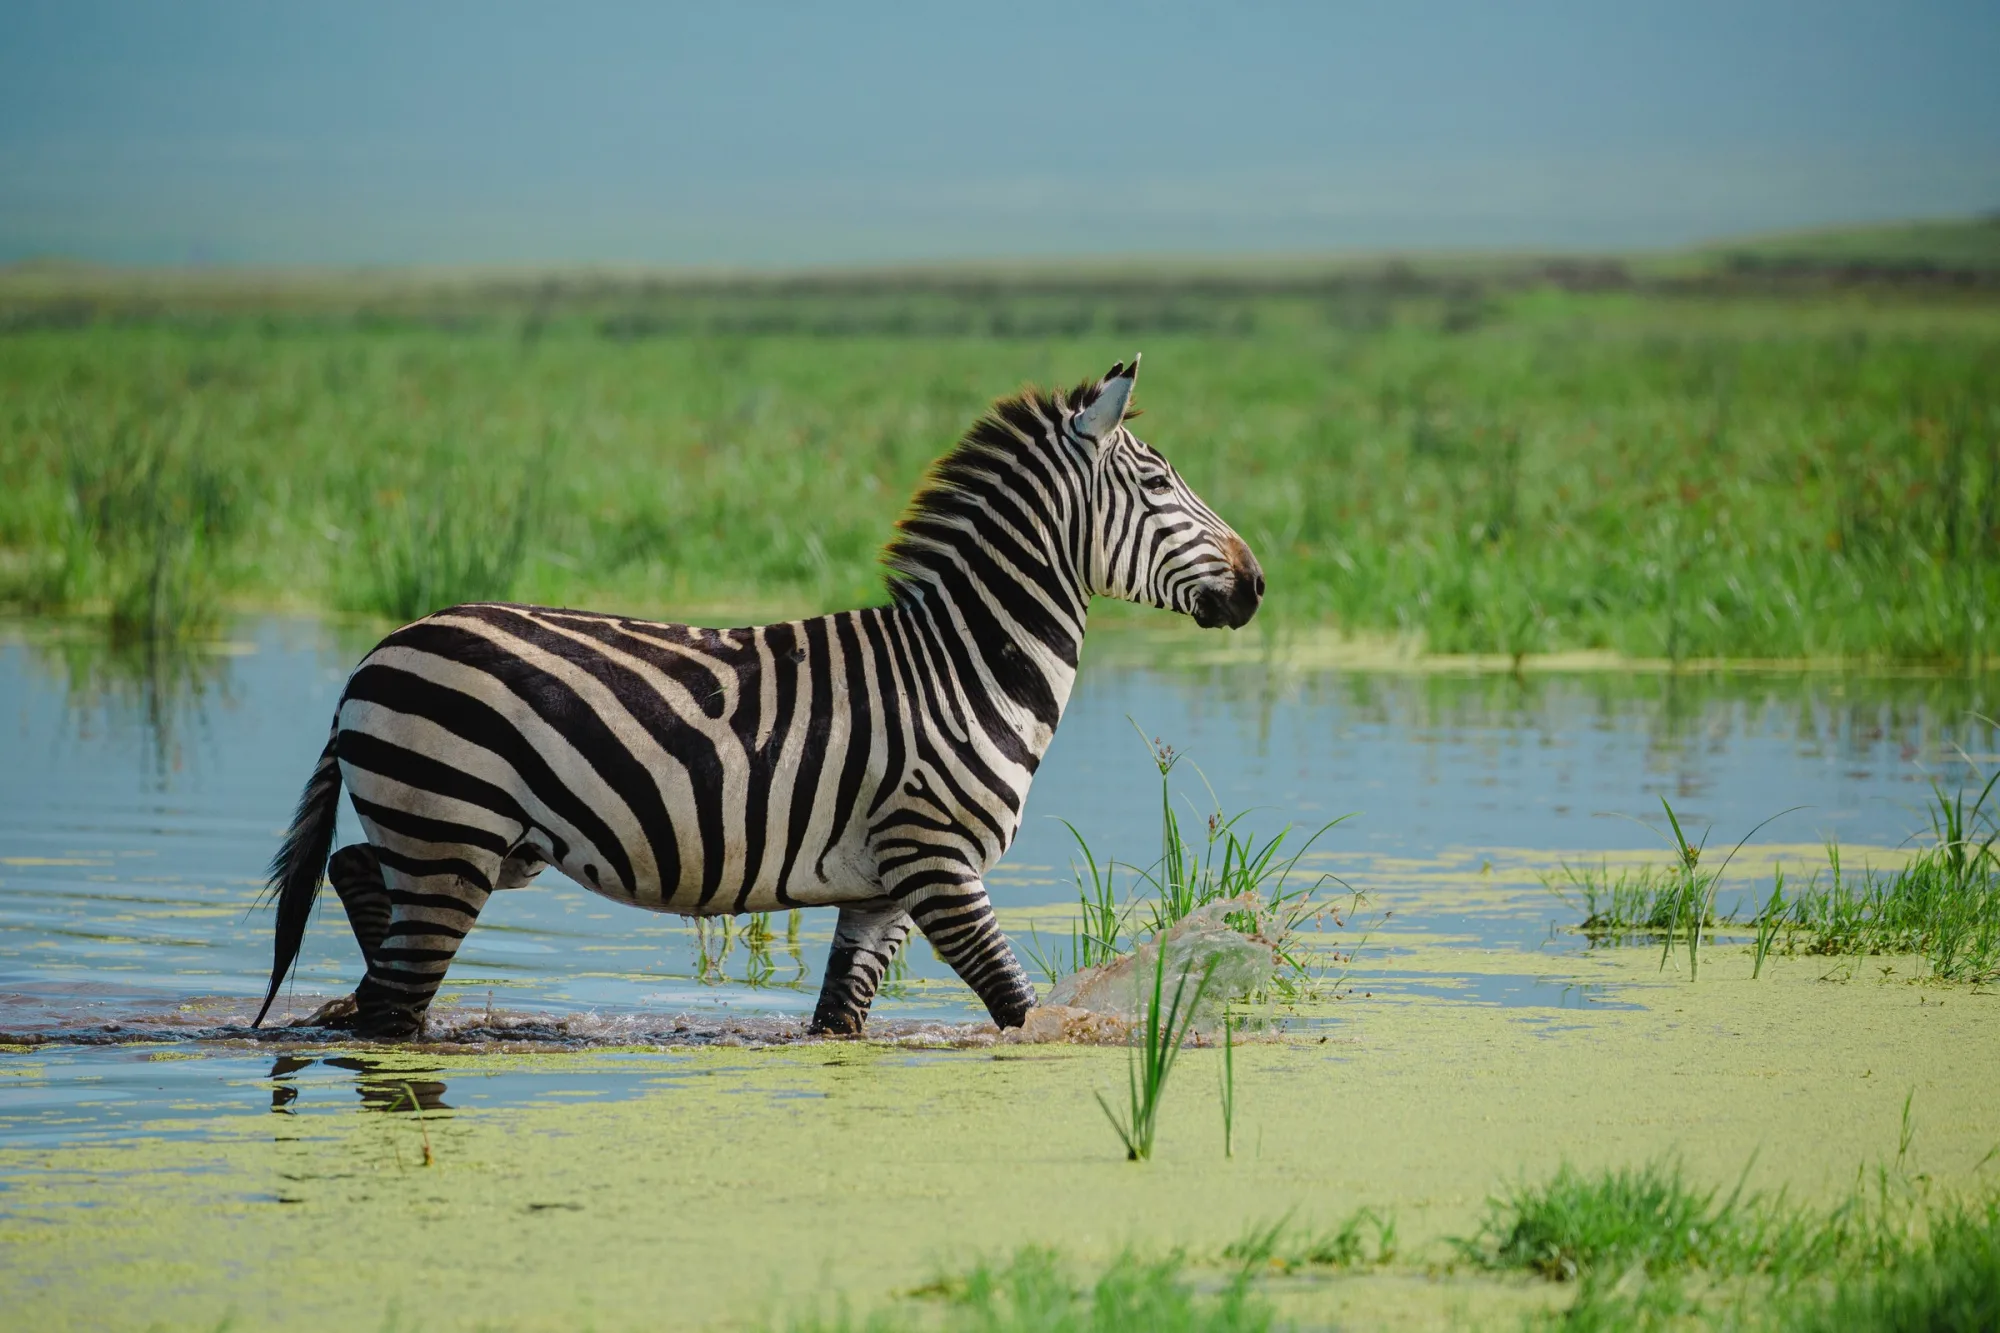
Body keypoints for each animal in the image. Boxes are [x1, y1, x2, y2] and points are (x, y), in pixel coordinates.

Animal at [254, 355, 1264, 1038]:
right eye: (1160, 481)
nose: (1256, 585)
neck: (965, 664)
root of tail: (375, 654)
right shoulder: (937, 860)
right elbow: (1019, 1011)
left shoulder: (880, 888)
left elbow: (839, 1020)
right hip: (450, 835)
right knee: (394, 992)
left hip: (477, 841)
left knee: (356, 875)